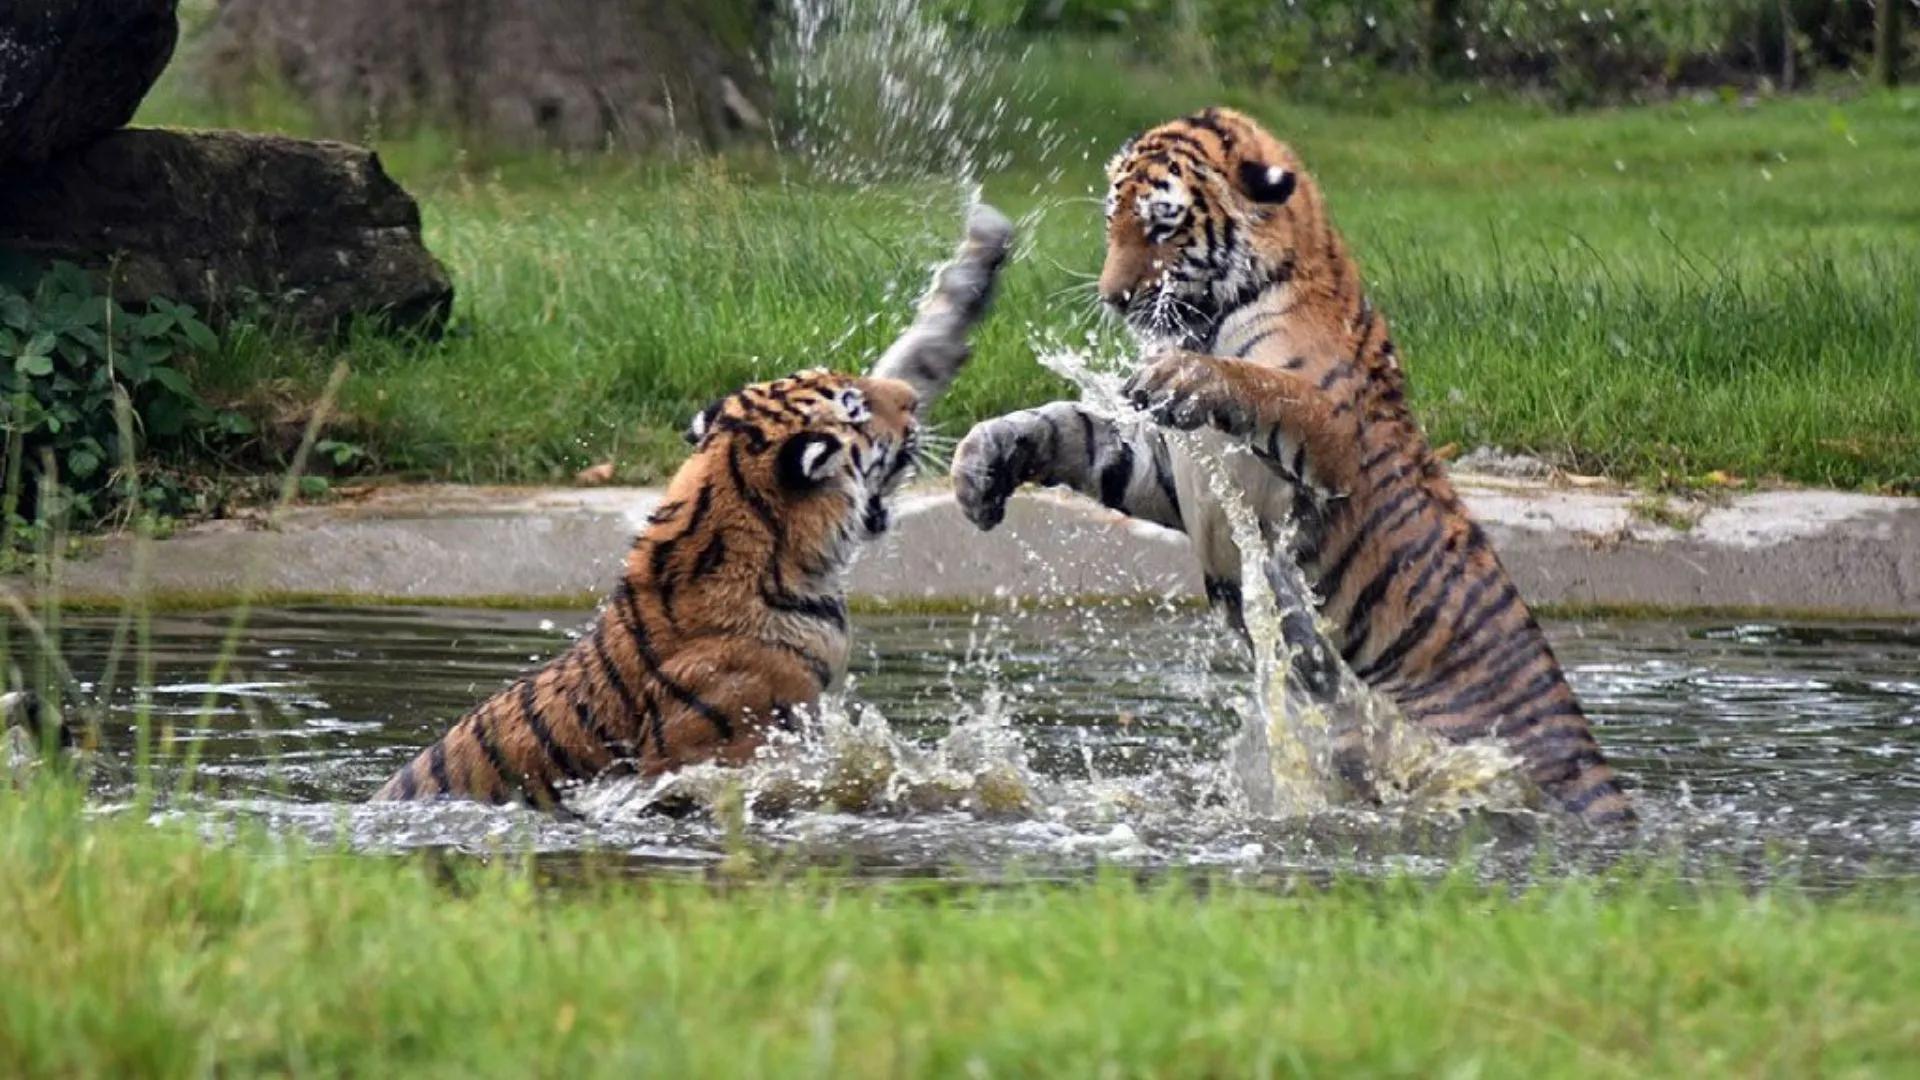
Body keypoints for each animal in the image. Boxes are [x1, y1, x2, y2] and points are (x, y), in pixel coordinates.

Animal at [950, 108, 1634, 826]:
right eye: (1114, 221)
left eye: (1161, 224)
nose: (1114, 298)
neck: (1216, 316)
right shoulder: (1162, 469)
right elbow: (1069, 427)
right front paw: (983, 461)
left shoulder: (1333, 440)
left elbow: (1264, 385)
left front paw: (1183, 373)